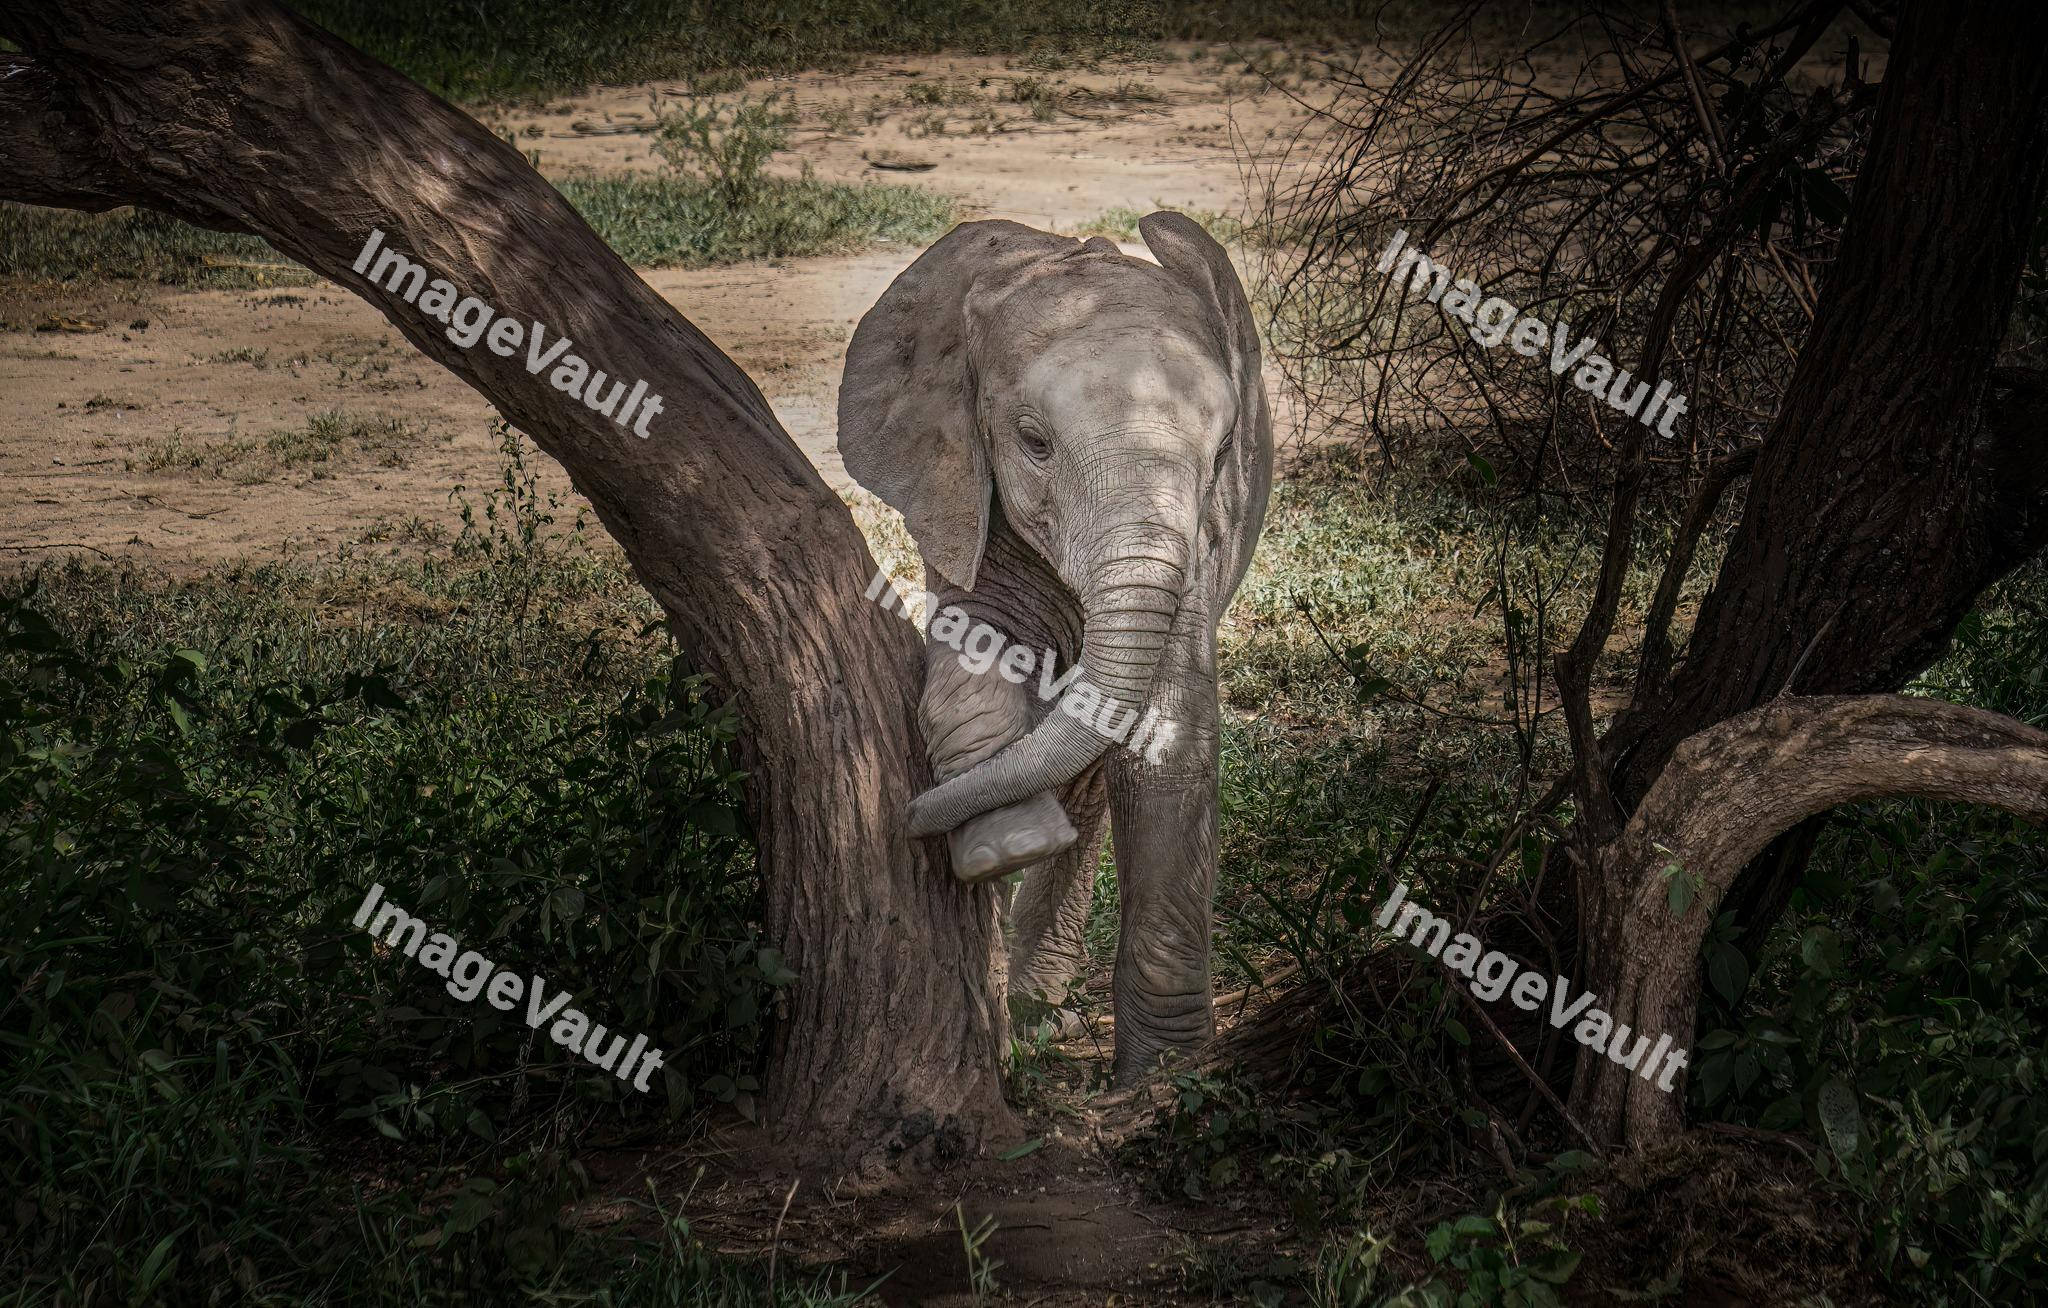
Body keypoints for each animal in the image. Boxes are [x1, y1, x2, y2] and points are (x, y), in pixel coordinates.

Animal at [837, 211, 1273, 1085]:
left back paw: (1038, 1008)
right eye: (1033, 443)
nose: (902, 816)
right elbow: (970, 654)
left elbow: (1164, 738)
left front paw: (1164, 1078)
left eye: (1220, 458)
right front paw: (1008, 845)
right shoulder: (959, 490)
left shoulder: (1203, 541)